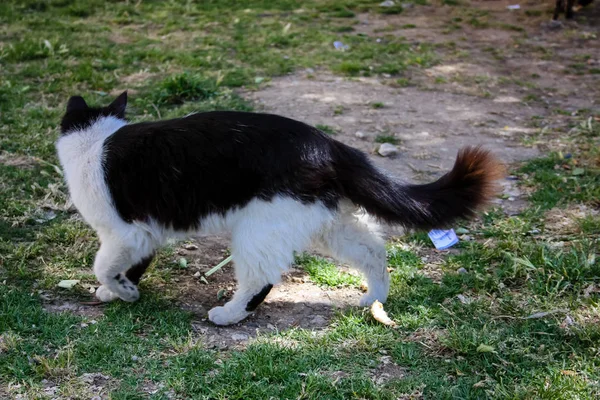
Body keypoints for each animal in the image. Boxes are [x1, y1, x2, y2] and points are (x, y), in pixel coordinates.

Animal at [56, 90, 504, 324]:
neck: (94, 141)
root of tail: (328, 143)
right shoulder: (145, 233)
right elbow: (131, 265)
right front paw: (122, 289)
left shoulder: (124, 231)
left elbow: (104, 265)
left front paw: (121, 292)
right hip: (328, 223)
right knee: (374, 250)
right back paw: (374, 298)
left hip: (259, 229)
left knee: (260, 279)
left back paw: (229, 314)